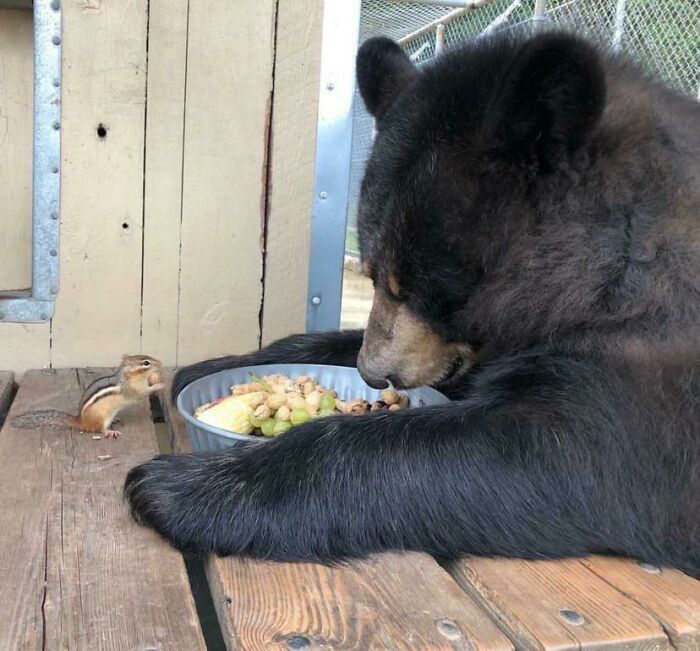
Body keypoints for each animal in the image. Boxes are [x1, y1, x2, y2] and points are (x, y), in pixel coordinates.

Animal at [126, 31, 700, 576]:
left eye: (416, 287)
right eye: (374, 275)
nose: (374, 372)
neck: (604, 270)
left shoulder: (646, 362)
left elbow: (559, 454)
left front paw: (181, 485)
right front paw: (216, 365)